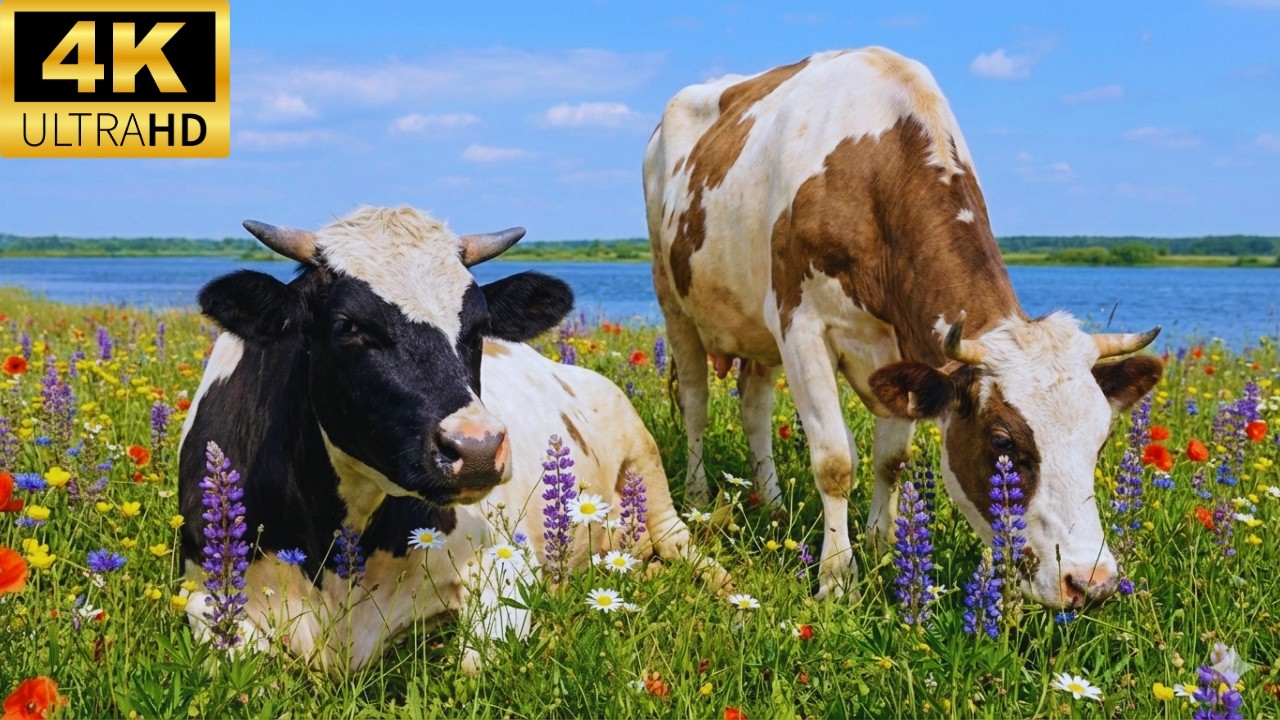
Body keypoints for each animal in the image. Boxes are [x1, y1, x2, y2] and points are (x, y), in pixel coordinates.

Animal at [178, 205, 728, 672]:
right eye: (348, 325)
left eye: (480, 325)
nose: (478, 450)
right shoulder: (204, 592)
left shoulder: (505, 563)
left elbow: (474, 661)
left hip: (648, 469)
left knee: (682, 543)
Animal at [643, 47, 1163, 608]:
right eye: (1002, 442)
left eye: (1102, 439)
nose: (1092, 582)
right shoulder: (800, 326)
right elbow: (834, 462)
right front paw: (837, 578)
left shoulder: (906, 347)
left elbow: (891, 458)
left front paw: (884, 543)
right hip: (673, 299)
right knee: (696, 402)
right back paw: (698, 495)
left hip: (756, 334)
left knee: (754, 407)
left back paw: (774, 503)